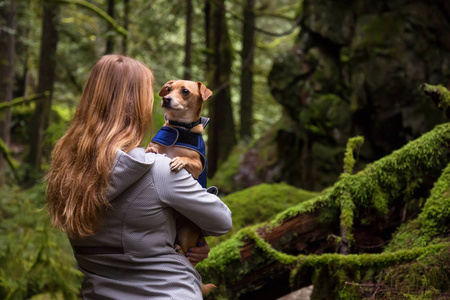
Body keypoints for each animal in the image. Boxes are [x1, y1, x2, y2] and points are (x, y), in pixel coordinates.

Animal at [146, 79, 216, 296]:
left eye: (185, 91)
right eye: (168, 89)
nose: (166, 99)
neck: (181, 128)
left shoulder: (198, 166)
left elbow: (187, 160)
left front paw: (178, 160)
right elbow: (152, 148)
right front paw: (152, 150)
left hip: (186, 231)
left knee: (187, 256)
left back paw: (180, 250)